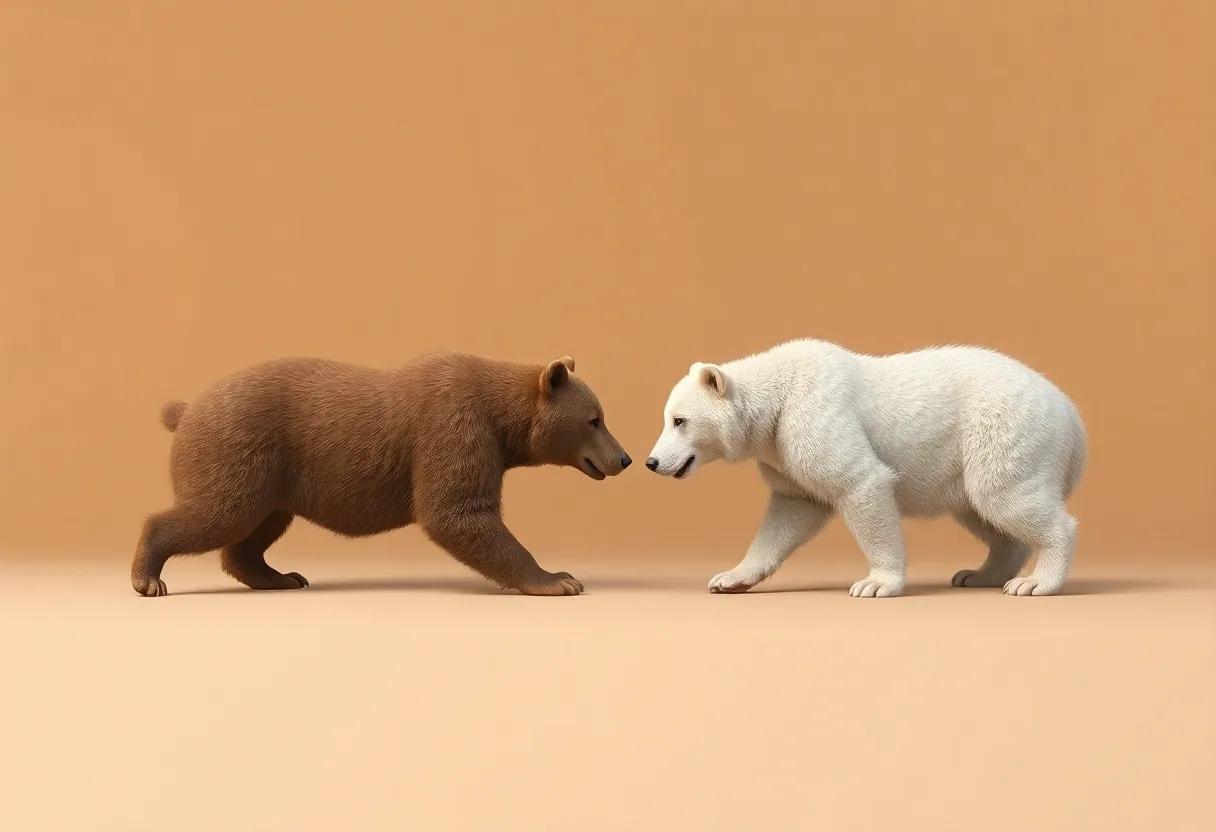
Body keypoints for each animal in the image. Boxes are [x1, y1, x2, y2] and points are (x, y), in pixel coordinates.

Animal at [131, 353, 631, 597]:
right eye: (595, 419)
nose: (623, 458)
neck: (500, 414)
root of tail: (186, 410)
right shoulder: (454, 426)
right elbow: (457, 512)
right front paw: (558, 579)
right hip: (237, 448)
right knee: (218, 513)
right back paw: (148, 578)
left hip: (275, 476)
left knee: (256, 528)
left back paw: (281, 577)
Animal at [645, 339, 1086, 597]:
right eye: (667, 418)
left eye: (679, 420)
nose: (652, 461)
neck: (778, 397)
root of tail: (1072, 415)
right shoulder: (784, 453)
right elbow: (790, 510)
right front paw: (730, 577)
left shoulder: (814, 415)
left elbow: (860, 482)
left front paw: (876, 583)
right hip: (962, 462)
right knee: (981, 510)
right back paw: (978, 574)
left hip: (1004, 431)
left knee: (1005, 497)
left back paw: (1035, 581)